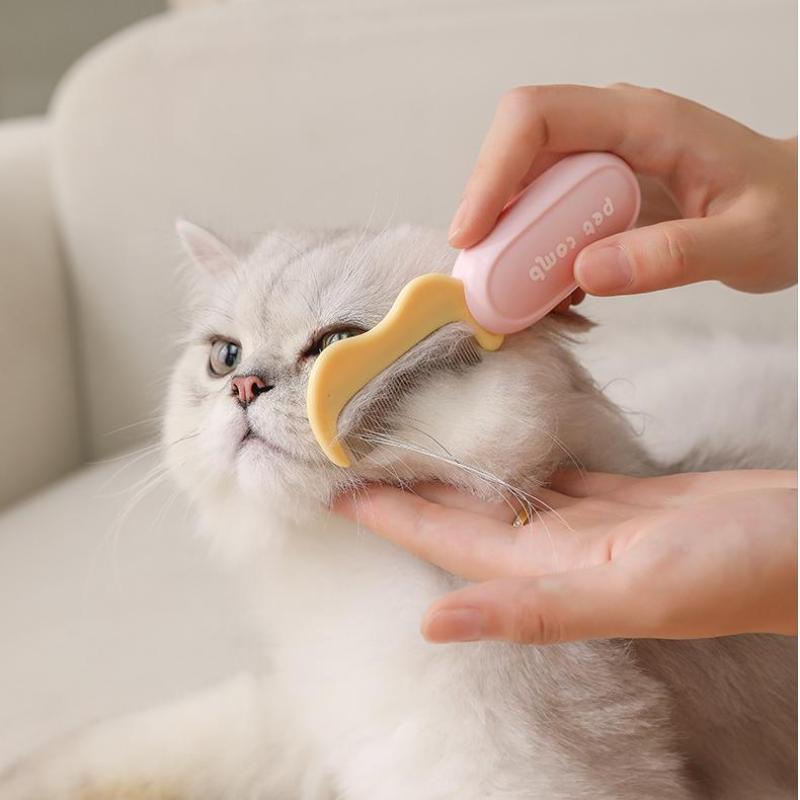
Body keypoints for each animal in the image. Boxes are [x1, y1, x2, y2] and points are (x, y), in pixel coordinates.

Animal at [0, 223, 795, 800]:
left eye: (335, 345)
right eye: (225, 357)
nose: (245, 387)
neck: (340, 575)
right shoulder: (290, 717)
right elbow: (119, 747)